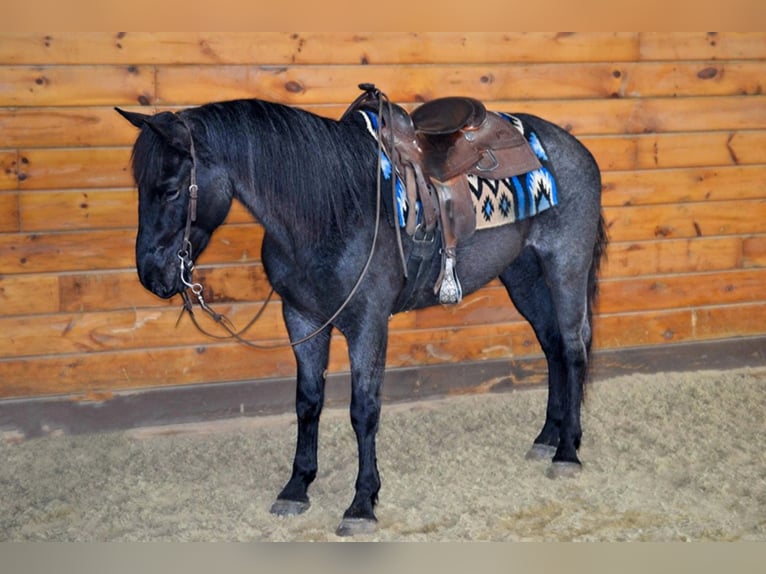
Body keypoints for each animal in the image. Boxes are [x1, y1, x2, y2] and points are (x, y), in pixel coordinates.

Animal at [117, 89, 608, 536]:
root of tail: (577, 148)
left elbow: (363, 409)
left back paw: (567, 452)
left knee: (572, 347)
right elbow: (307, 402)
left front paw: (362, 503)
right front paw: (297, 487)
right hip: (523, 276)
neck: (330, 210)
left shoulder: (368, 325)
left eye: (172, 189)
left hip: (565, 266)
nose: (151, 275)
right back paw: (547, 437)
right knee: (552, 347)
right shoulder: (302, 318)